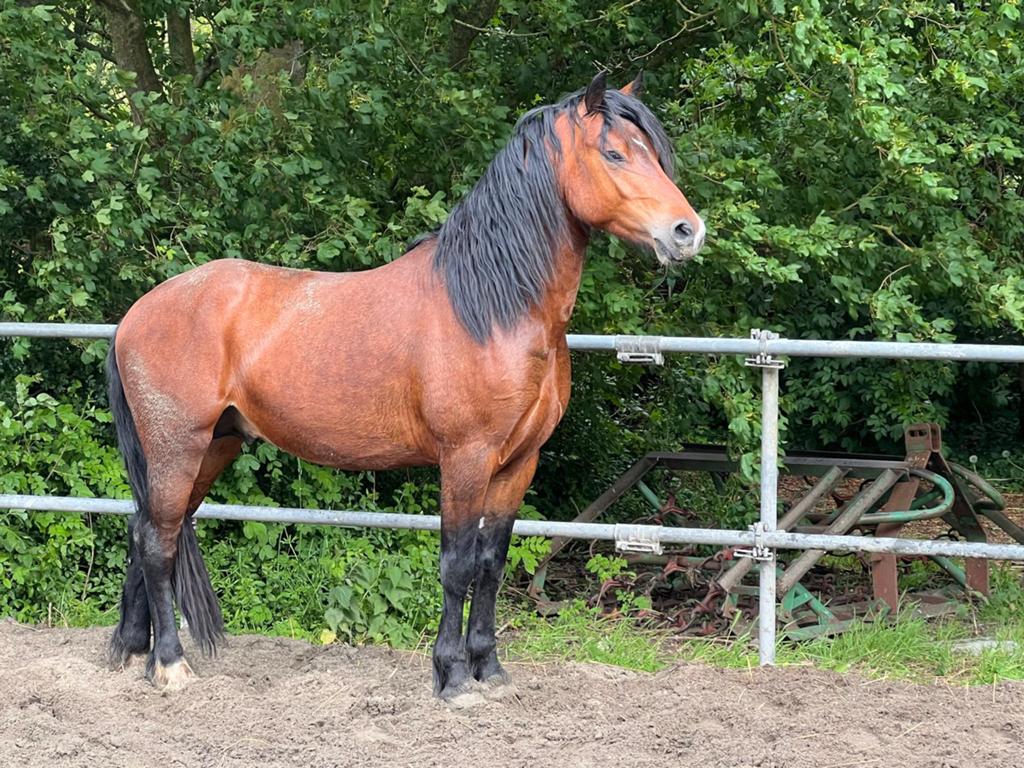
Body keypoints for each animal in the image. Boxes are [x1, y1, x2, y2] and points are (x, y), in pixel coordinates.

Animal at [105, 71, 705, 702]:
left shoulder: (519, 463)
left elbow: (491, 564)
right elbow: (457, 565)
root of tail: (137, 314)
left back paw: (136, 651)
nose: (688, 231)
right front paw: (454, 677)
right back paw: (170, 664)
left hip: (211, 448)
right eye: (614, 153)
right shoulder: (465, 458)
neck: (491, 307)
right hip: (178, 448)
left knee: (149, 532)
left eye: (654, 153)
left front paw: (490, 668)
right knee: (158, 541)